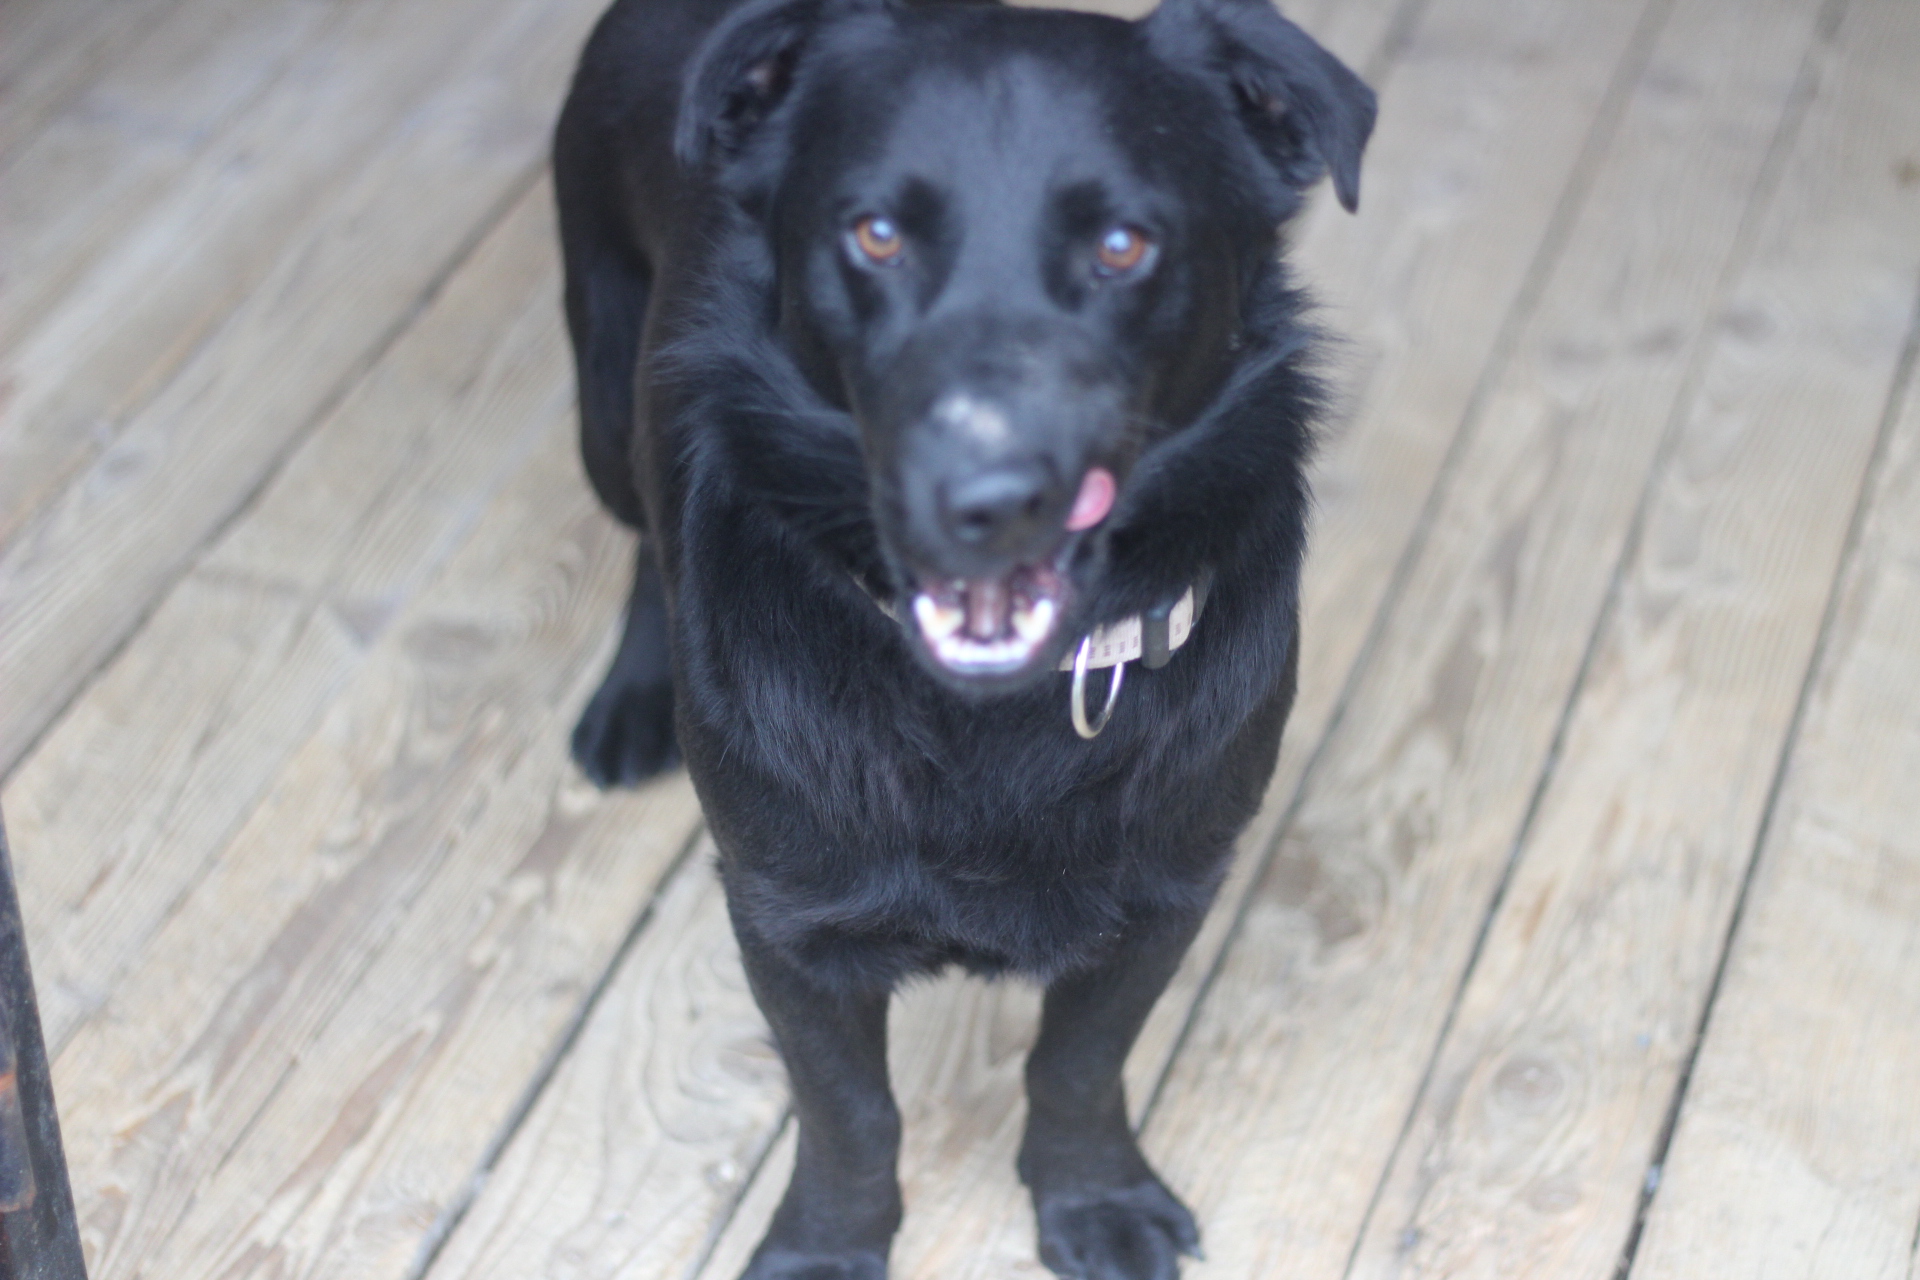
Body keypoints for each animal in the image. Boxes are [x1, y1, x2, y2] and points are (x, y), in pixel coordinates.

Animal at [553, 0, 1374, 1273]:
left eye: (1125, 245)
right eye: (877, 234)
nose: (986, 500)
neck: (994, 722)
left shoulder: (1168, 893)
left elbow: (1077, 1064)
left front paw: (1091, 1196)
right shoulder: (789, 918)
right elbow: (850, 1111)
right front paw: (831, 1243)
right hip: (601, 390)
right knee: (640, 524)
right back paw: (634, 696)